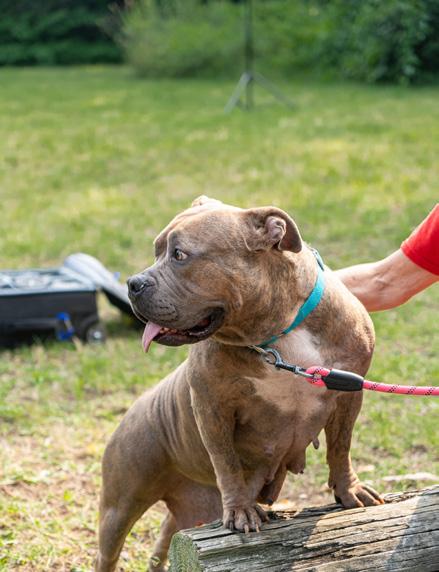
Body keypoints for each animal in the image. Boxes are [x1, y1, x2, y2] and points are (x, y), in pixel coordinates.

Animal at [95, 196, 383, 571]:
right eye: (157, 250)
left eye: (179, 255)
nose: (133, 283)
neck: (276, 335)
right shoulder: (211, 407)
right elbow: (226, 461)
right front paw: (241, 511)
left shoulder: (349, 396)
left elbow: (341, 447)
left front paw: (349, 491)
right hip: (119, 506)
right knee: (109, 550)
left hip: (187, 511)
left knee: (163, 541)